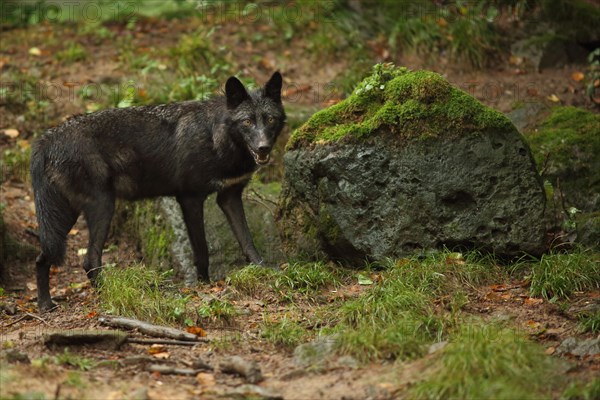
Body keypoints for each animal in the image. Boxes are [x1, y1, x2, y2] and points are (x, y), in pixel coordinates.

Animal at [30, 71, 286, 310]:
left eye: (270, 119)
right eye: (247, 122)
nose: (263, 147)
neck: (217, 138)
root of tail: (47, 139)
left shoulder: (229, 196)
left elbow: (246, 240)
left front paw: (263, 269)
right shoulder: (190, 199)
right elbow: (202, 250)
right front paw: (204, 284)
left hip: (65, 216)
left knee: (42, 258)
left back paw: (45, 304)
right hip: (102, 207)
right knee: (89, 259)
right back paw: (108, 296)